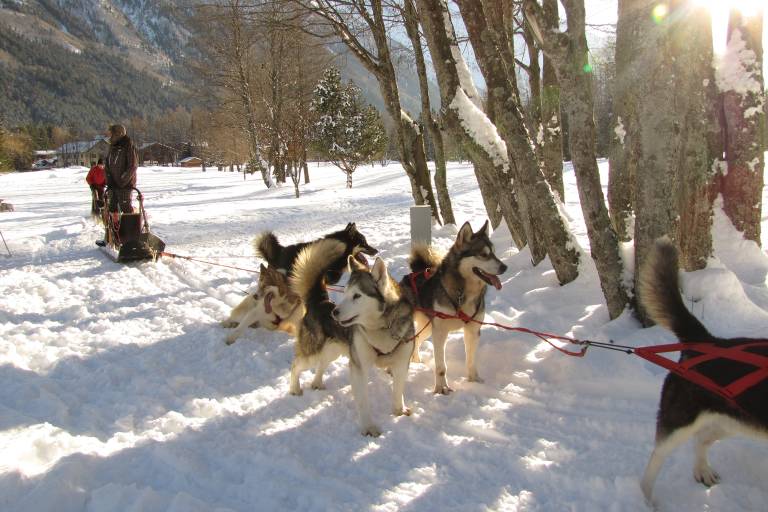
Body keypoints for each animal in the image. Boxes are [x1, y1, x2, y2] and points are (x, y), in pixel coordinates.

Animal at [286, 240, 352, 396]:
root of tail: (320, 301)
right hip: (313, 352)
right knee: (296, 366)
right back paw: (295, 389)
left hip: (333, 349)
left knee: (321, 365)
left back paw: (317, 384)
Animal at [334, 256, 416, 436]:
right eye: (345, 293)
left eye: (357, 296)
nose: (334, 312)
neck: (381, 328)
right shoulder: (359, 366)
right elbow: (363, 400)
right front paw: (368, 427)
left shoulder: (402, 362)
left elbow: (398, 388)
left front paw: (398, 410)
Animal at [400, 222, 508, 394]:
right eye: (483, 254)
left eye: (494, 253)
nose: (505, 267)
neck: (463, 293)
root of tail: (415, 272)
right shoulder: (440, 333)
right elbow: (441, 367)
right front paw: (441, 388)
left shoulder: (472, 331)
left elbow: (471, 361)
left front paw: (474, 380)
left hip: (428, 328)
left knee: (416, 339)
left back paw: (416, 361)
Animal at [636, 238, 768, 502]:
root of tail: (706, 340)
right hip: (680, 422)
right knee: (657, 457)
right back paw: (644, 499)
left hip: (734, 421)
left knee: (701, 438)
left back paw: (702, 470)